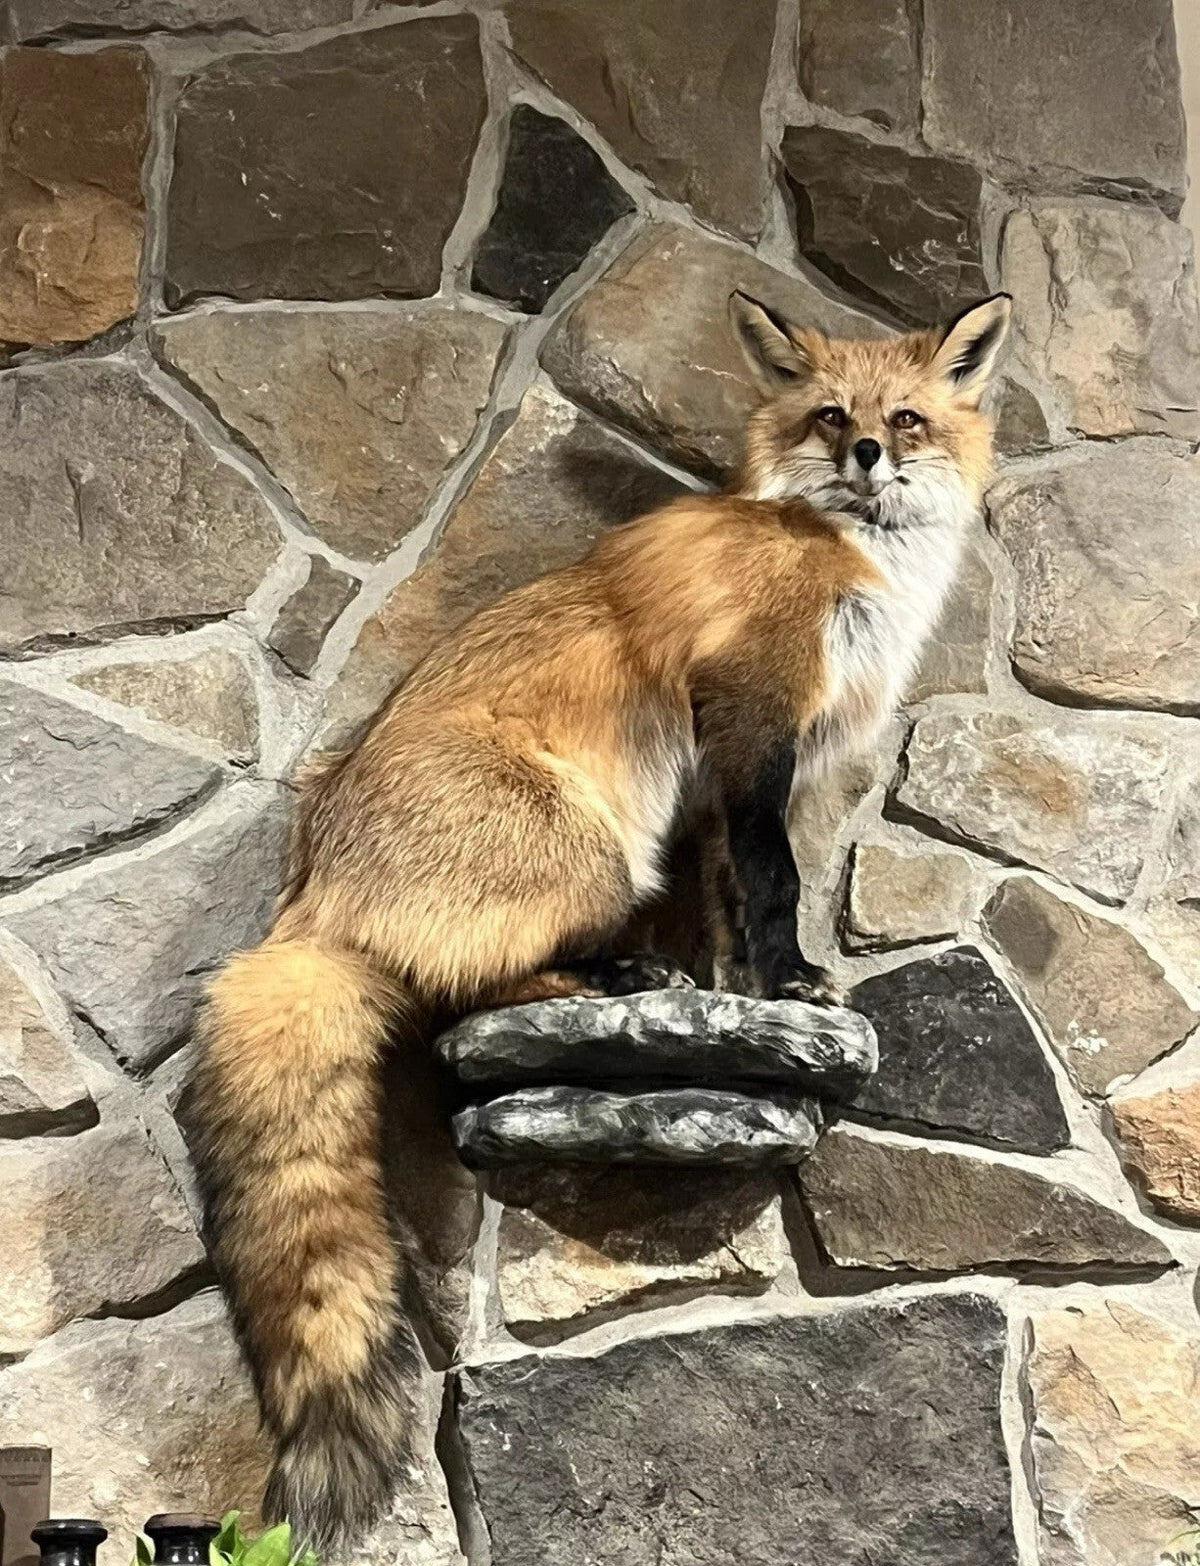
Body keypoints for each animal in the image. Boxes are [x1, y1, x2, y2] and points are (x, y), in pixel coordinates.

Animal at [187, 288, 1012, 1550]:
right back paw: (612, 983)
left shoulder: (730, 783)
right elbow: (775, 881)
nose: (868, 452)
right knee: (461, 1000)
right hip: (598, 851)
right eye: (832, 416)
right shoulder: (752, 717)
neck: (843, 552)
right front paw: (795, 982)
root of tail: (312, 894)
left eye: (906, 418)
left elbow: (730, 900)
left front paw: (744, 990)